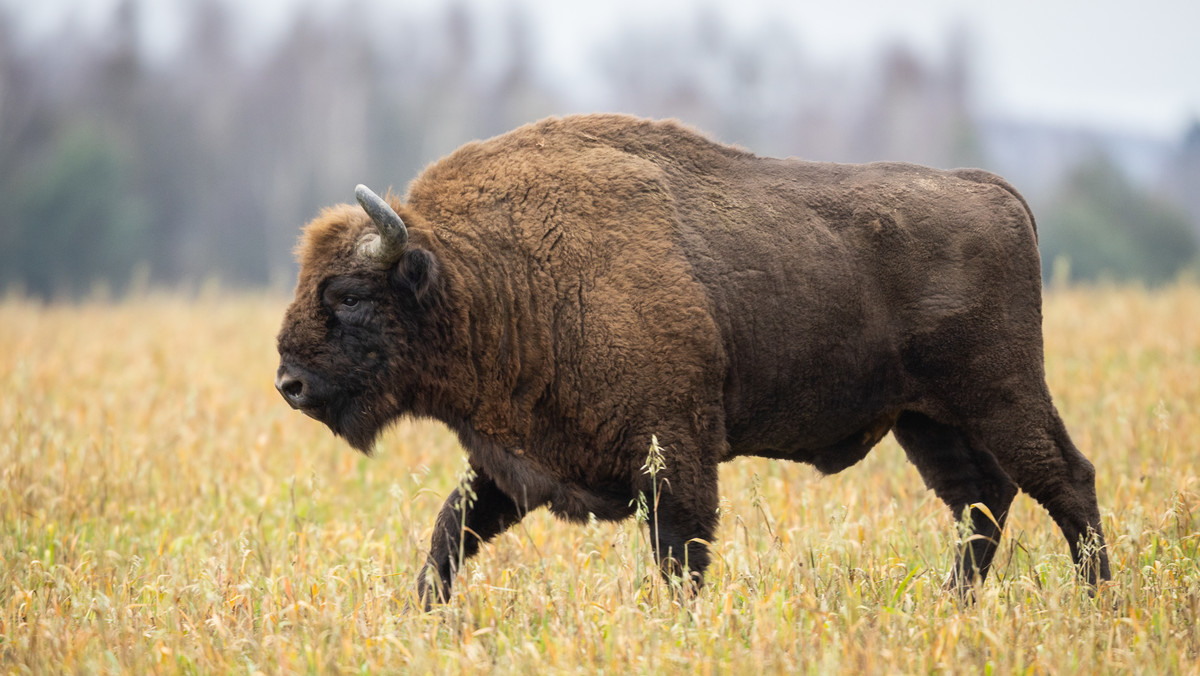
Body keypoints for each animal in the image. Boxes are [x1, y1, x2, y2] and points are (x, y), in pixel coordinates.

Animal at [276, 113, 1108, 605]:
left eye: (347, 293)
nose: (289, 381)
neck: (486, 271)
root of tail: (990, 190)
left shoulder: (675, 458)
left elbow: (682, 556)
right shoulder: (513, 466)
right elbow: (451, 532)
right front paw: (426, 615)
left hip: (1000, 395)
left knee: (1063, 480)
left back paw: (1098, 599)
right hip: (926, 419)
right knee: (981, 499)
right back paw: (954, 603)